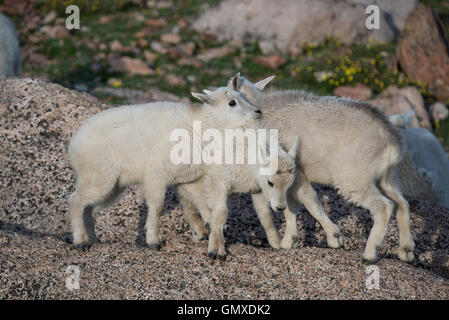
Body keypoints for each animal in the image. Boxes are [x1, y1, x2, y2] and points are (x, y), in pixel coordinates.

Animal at [68, 87, 260, 250]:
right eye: (232, 102)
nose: (258, 112)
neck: (200, 127)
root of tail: (74, 144)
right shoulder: (157, 174)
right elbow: (157, 206)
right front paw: (154, 240)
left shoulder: (186, 176)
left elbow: (199, 200)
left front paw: (205, 228)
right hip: (99, 174)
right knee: (76, 201)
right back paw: (80, 240)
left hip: (114, 184)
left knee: (89, 208)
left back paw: (92, 239)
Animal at [213, 74, 412, 264]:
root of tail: (392, 143)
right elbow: (292, 205)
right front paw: (291, 240)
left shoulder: (294, 170)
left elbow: (307, 201)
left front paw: (332, 238)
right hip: (385, 178)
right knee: (401, 204)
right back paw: (406, 251)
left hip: (354, 179)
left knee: (384, 206)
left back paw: (370, 254)